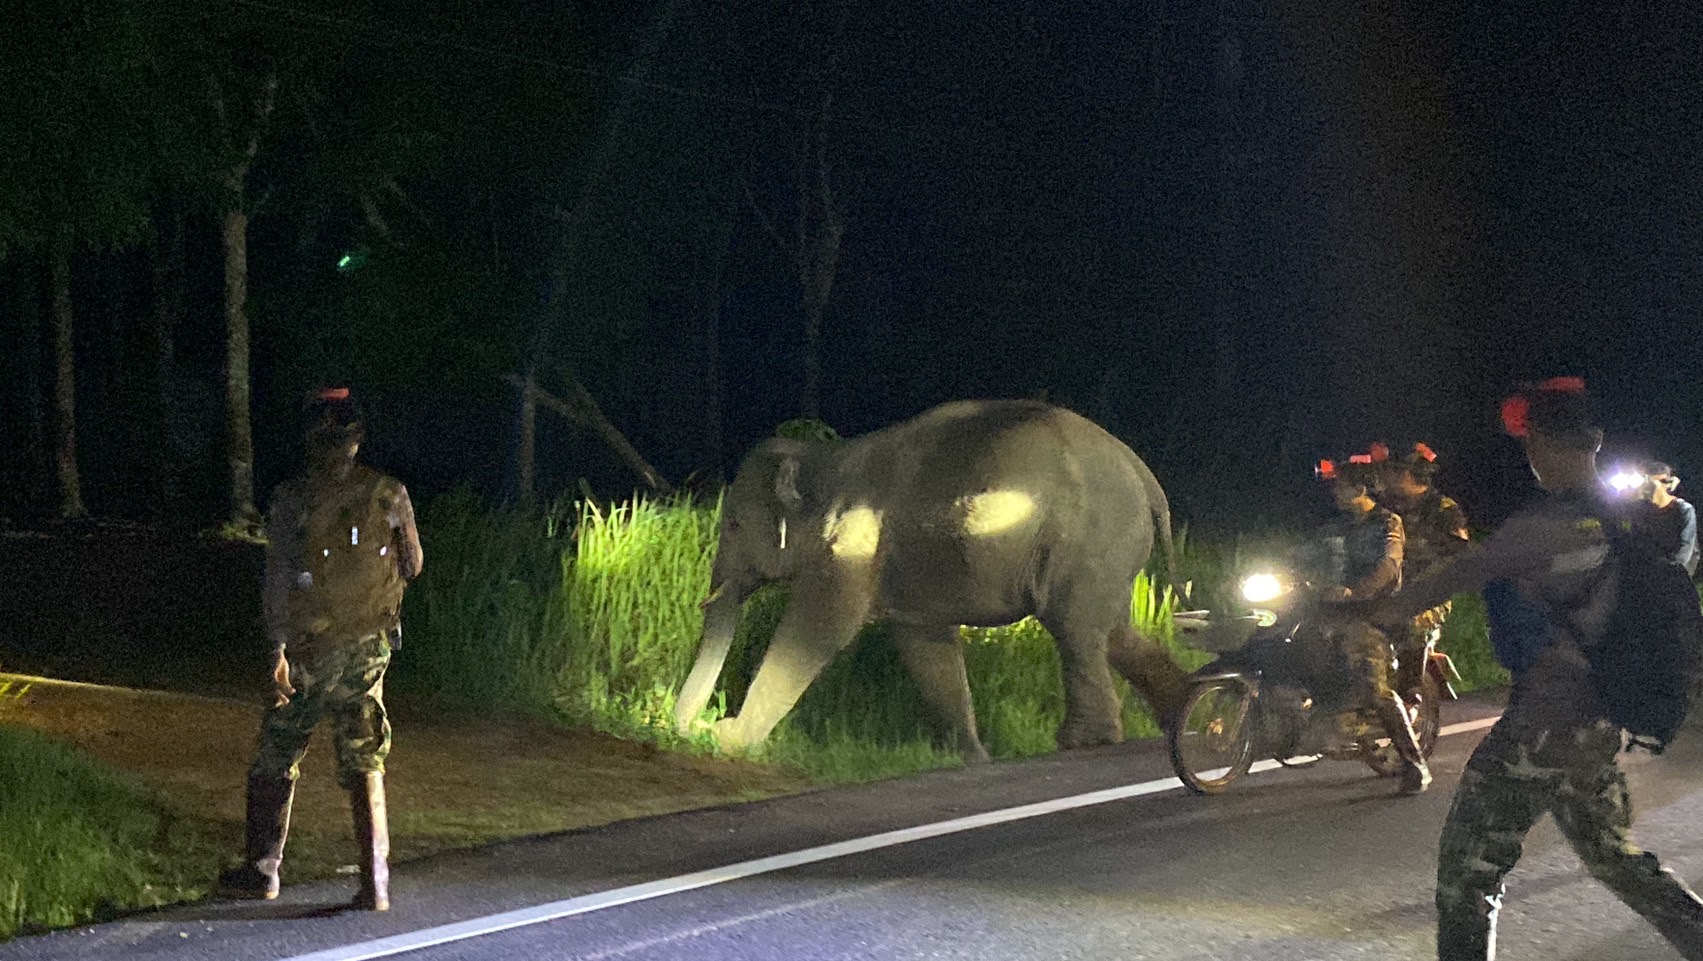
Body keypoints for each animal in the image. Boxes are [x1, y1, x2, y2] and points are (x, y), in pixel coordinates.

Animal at [670, 393, 1192, 763]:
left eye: (734, 525)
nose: (699, 727)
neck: (828, 458)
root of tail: (1147, 479)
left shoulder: (854, 544)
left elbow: (817, 629)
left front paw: (733, 742)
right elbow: (924, 645)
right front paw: (972, 759)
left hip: (1089, 542)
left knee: (1076, 631)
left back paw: (1083, 743)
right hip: (1104, 554)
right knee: (1112, 633)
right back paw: (1186, 714)